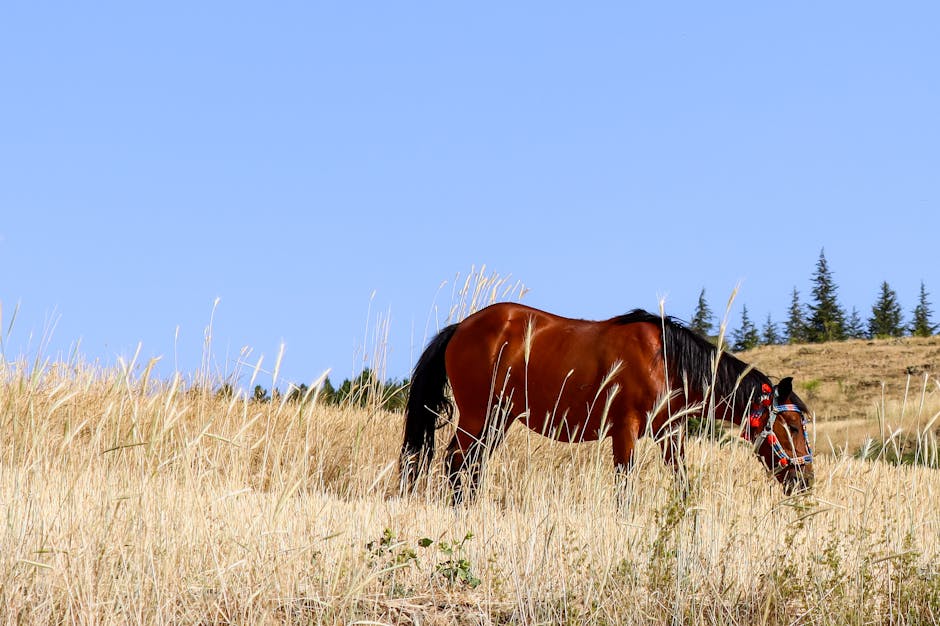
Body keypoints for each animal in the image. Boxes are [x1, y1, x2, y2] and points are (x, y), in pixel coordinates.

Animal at [400, 300, 812, 500]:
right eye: (792, 426)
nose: (806, 479)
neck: (666, 359)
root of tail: (461, 328)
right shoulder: (624, 431)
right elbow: (624, 486)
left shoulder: (669, 433)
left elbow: (681, 481)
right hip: (476, 414)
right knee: (456, 462)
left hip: (498, 418)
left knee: (471, 464)